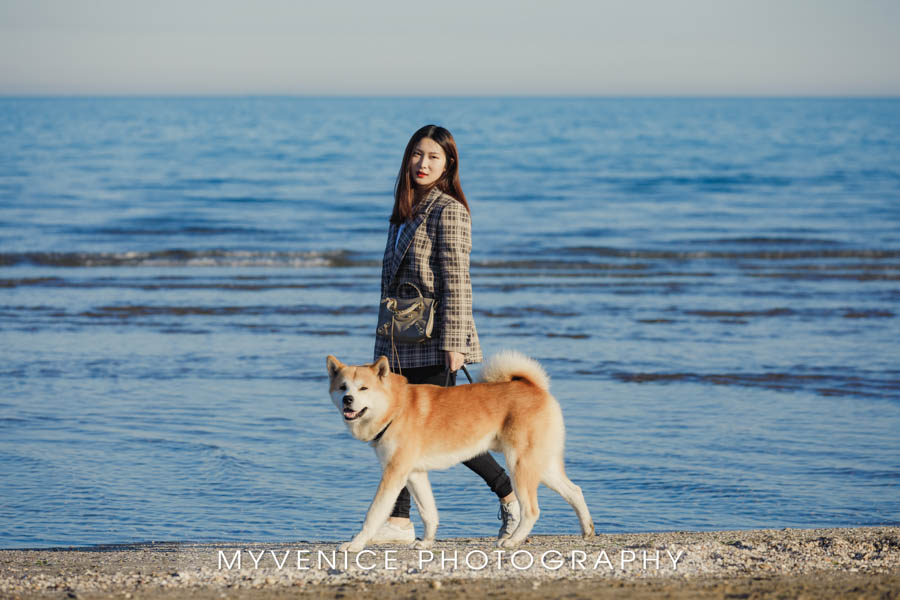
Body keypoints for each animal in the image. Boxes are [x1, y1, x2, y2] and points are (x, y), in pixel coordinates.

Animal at [326, 352, 596, 552]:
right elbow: (428, 512)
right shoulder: (414, 474)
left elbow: (374, 513)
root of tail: (535, 387)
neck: (396, 408)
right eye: (343, 387)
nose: (348, 399)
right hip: (541, 465)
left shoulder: (394, 473)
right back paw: (587, 529)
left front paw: (355, 544)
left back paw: (512, 540)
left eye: (363, 388)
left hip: (520, 465)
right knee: (574, 490)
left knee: (531, 510)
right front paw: (426, 542)